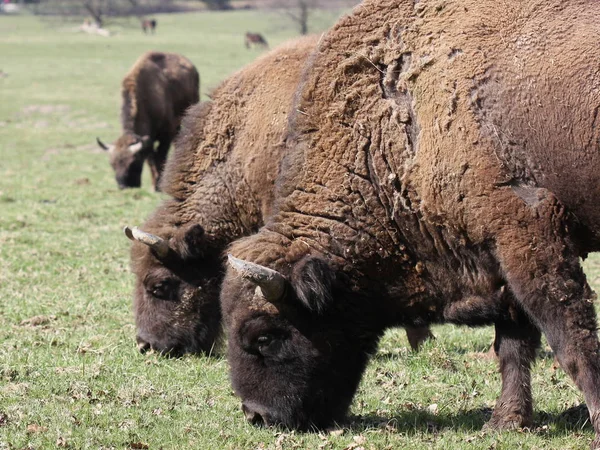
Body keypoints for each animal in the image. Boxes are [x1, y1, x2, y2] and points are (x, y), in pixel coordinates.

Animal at [97, 51, 200, 191]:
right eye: (112, 164)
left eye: (133, 163)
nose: (123, 186)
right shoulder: (149, 140)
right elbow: (151, 159)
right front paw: (154, 185)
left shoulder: (165, 135)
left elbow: (160, 157)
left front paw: (159, 185)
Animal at [221, 0, 600, 446]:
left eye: (264, 336)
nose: (256, 415)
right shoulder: (500, 259)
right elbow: (513, 344)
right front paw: (506, 421)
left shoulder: (529, 238)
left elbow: (570, 338)